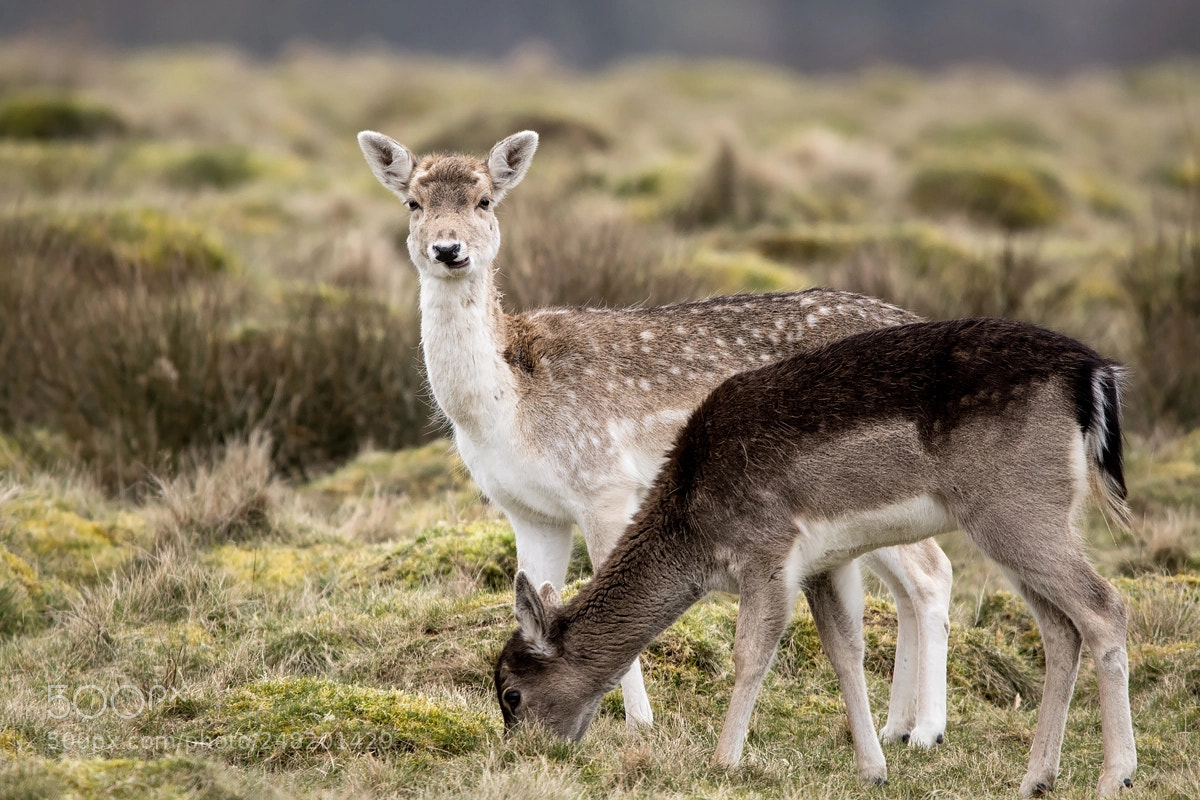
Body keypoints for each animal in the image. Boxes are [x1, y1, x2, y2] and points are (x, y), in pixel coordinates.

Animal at [357, 128, 953, 746]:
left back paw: (928, 731)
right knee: (909, 586)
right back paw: (896, 728)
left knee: (934, 574)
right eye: (414, 203)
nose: (448, 249)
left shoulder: (604, 485)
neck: (507, 409)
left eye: (484, 200)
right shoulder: (527, 510)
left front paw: (639, 723)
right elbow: (532, 598)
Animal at [494, 317, 1137, 797]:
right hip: (1032, 517)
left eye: (510, 694)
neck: (696, 526)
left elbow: (751, 653)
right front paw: (873, 769)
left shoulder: (767, 548)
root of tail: (1092, 373)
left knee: (1105, 607)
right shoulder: (826, 561)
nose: (524, 754)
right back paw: (1037, 778)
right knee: (1060, 627)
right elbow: (845, 651)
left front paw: (723, 761)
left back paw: (1115, 777)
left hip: (1014, 508)